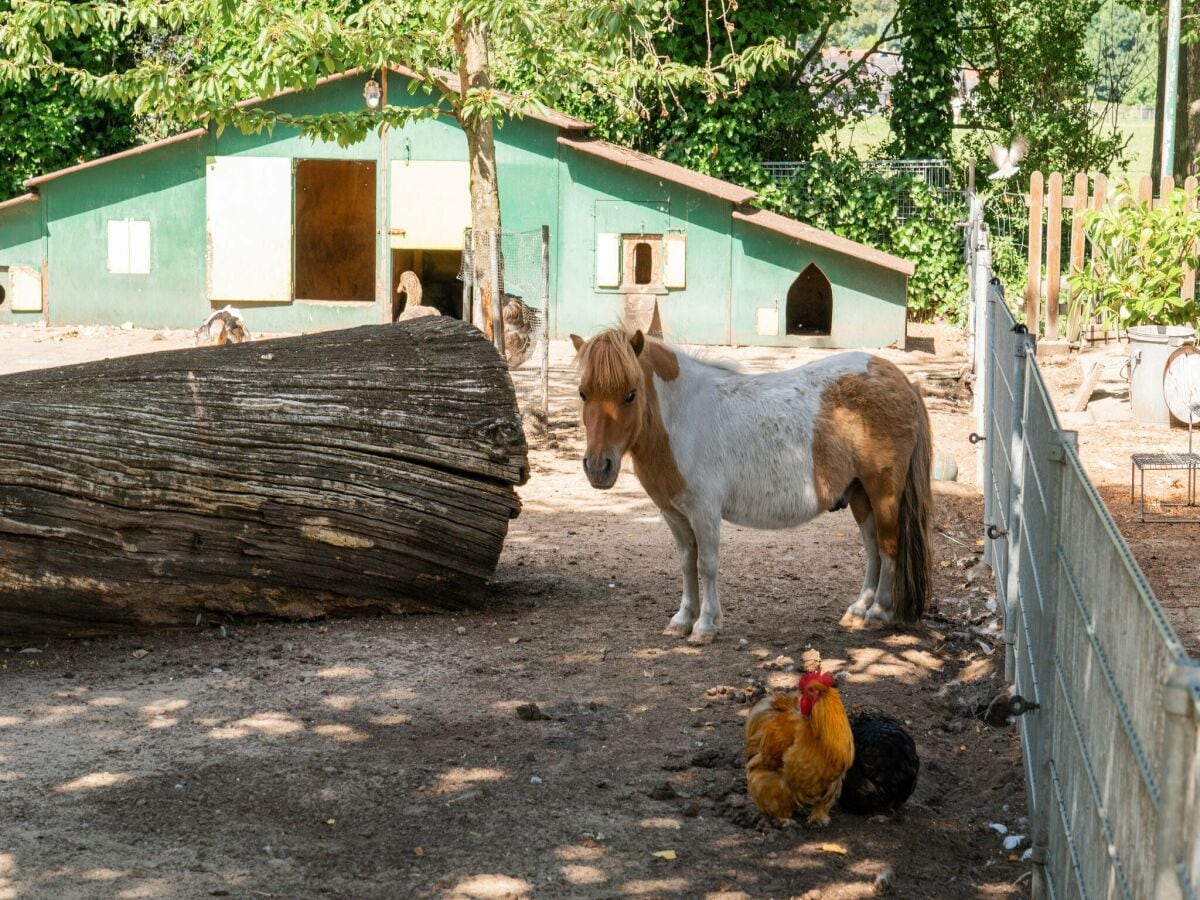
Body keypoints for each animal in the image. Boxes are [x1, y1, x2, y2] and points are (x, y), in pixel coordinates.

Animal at [573, 328, 936, 643]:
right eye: (583, 393)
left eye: (630, 394)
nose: (598, 467)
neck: (681, 418)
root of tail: (898, 378)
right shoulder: (673, 513)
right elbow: (687, 563)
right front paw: (682, 619)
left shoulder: (704, 511)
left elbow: (707, 564)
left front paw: (705, 625)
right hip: (860, 493)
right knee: (873, 547)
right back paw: (858, 609)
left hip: (883, 491)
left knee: (888, 546)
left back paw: (878, 612)